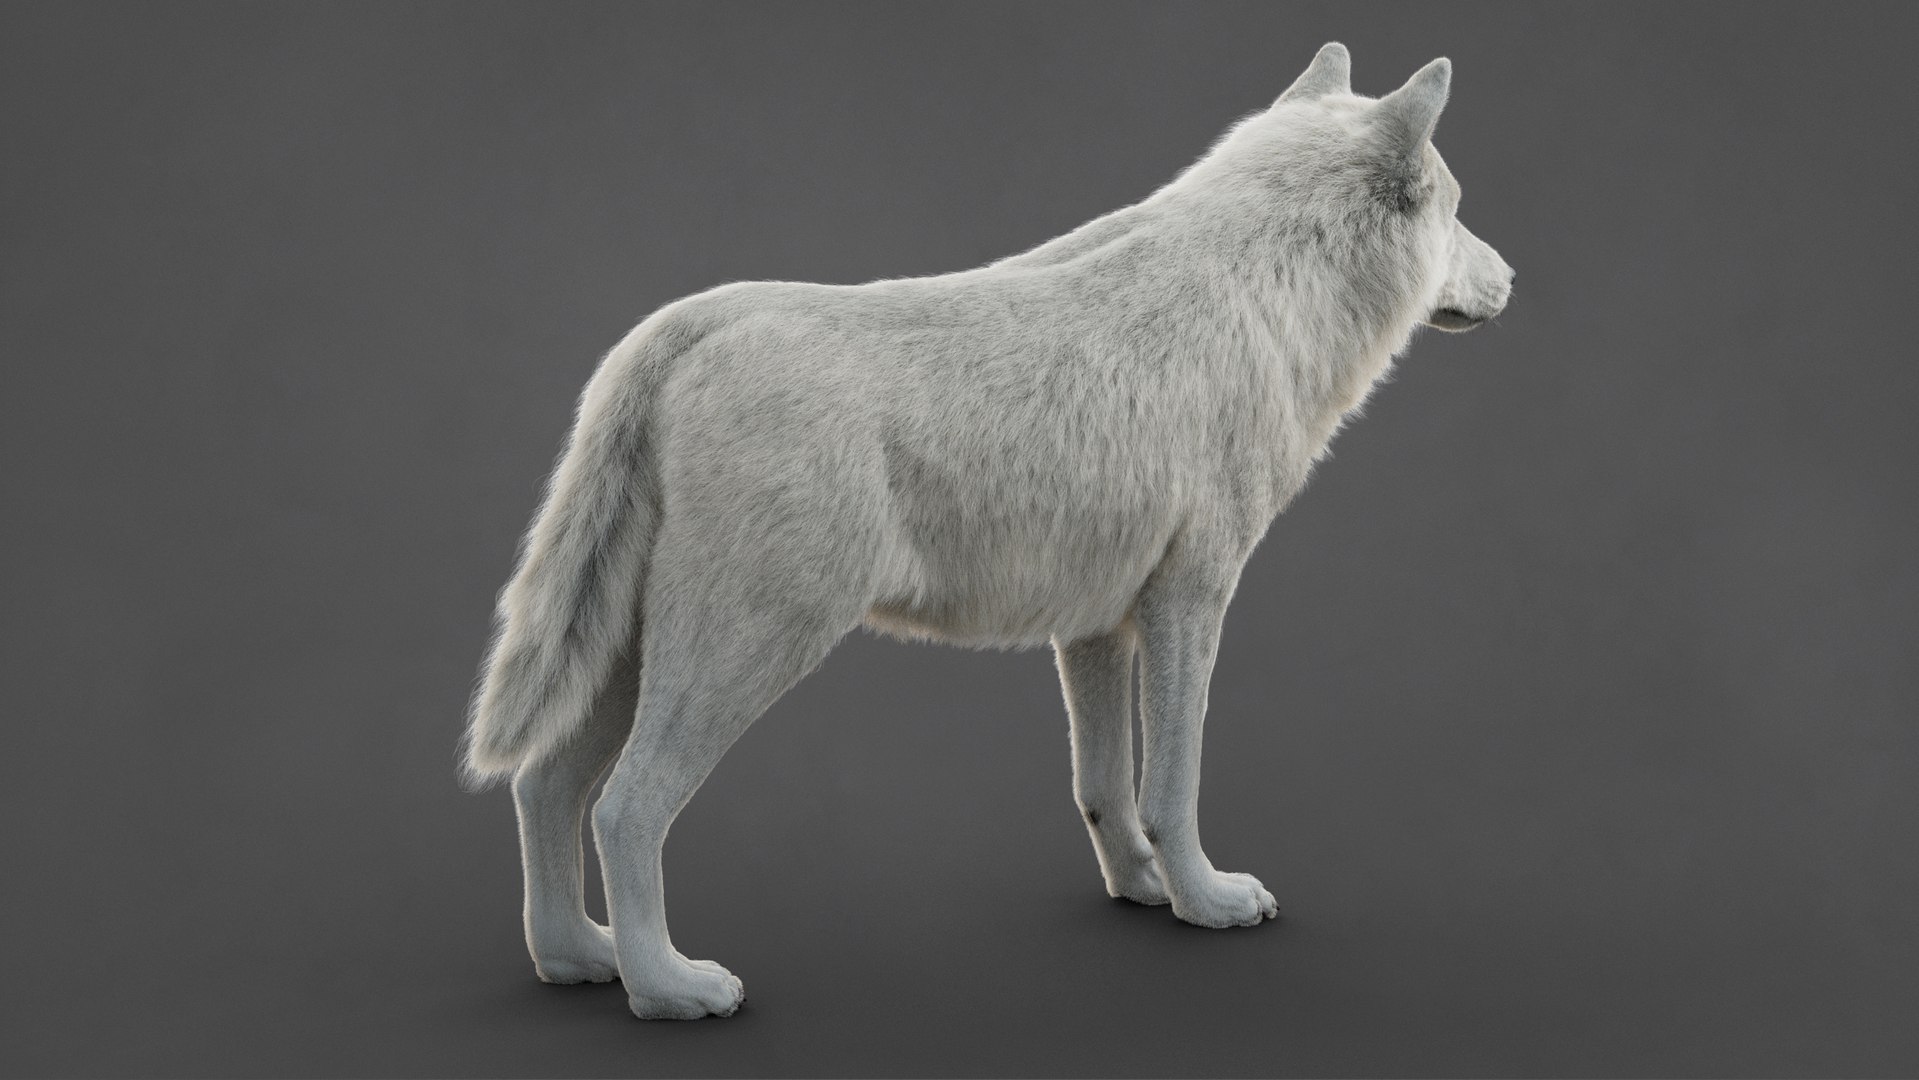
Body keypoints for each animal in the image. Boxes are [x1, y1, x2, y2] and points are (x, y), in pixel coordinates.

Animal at [461, 43, 1513, 1019]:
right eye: (1459, 207)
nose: (1512, 275)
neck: (1268, 294)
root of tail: (679, 331)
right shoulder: (1191, 602)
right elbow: (1172, 786)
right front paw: (1206, 901)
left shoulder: (1096, 629)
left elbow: (1106, 788)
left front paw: (1140, 890)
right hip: (745, 653)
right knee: (626, 807)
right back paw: (669, 990)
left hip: (634, 658)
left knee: (544, 786)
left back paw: (577, 959)